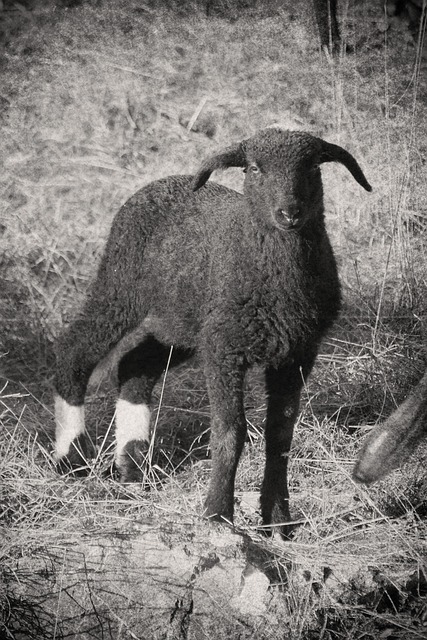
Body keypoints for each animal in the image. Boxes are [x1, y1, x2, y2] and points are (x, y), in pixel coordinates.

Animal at [53, 128, 371, 536]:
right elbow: (230, 431)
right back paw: (72, 456)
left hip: (181, 321)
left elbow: (280, 436)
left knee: (135, 365)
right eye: (253, 168)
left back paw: (133, 464)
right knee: (74, 351)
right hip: (121, 285)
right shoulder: (224, 347)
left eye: (313, 166)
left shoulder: (297, 352)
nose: (289, 214)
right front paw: (218, 515)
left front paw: (279, 522)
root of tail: (160, 182)